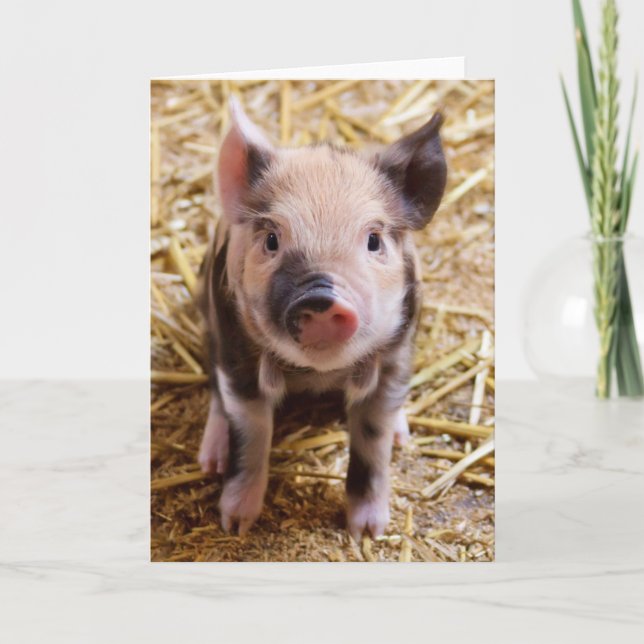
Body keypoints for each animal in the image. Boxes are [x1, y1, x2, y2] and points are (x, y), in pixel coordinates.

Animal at [197, 98, 446, 540]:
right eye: (272, 239)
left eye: (373, 240)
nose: (320, 297)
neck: (318, 374)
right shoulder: (235, 350)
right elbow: (251, 434)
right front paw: (236, 524)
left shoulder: (397, 354)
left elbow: (373, 439)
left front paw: (368, 532)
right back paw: (210, 461)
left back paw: (404, 438)